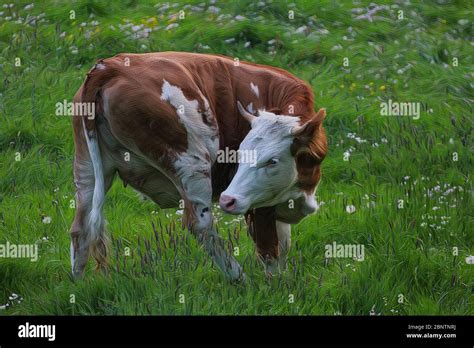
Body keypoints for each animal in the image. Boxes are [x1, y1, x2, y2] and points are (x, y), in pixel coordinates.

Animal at [70, 51, 328, 280]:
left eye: (272, 160)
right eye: (239, 155)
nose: (227, 199)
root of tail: (109, 67)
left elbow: (283, 244)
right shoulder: (259, 203)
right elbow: (270, 249)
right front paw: (274, 286)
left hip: (87, 168)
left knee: (81, 228)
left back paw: (78, 285)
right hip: (190, 163)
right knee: (200, 225)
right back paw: (238, 277)